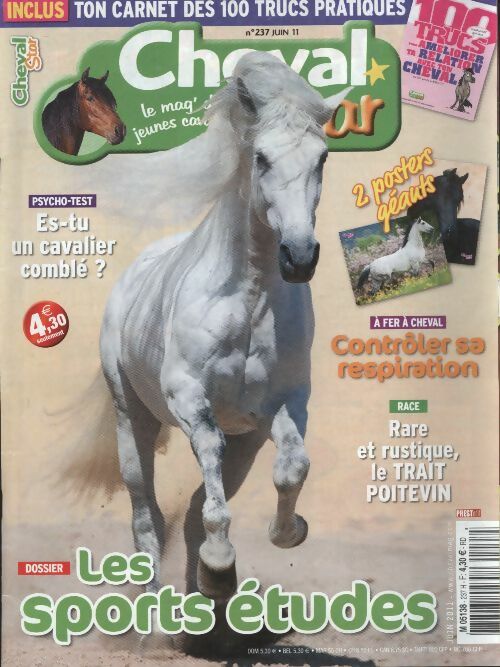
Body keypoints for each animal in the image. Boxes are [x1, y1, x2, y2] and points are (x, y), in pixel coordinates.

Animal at [96, 51, 349, 600]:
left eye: (322, 159)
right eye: (263, 159)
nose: (300, 257)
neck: (249, 302)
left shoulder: (283, 404)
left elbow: (292, 468)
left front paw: (285, 534)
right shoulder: (189, 398)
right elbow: (209, 470)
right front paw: (218, 558)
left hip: (246, 443)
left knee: (192, 510)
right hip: (132, 421)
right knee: (145, 515)